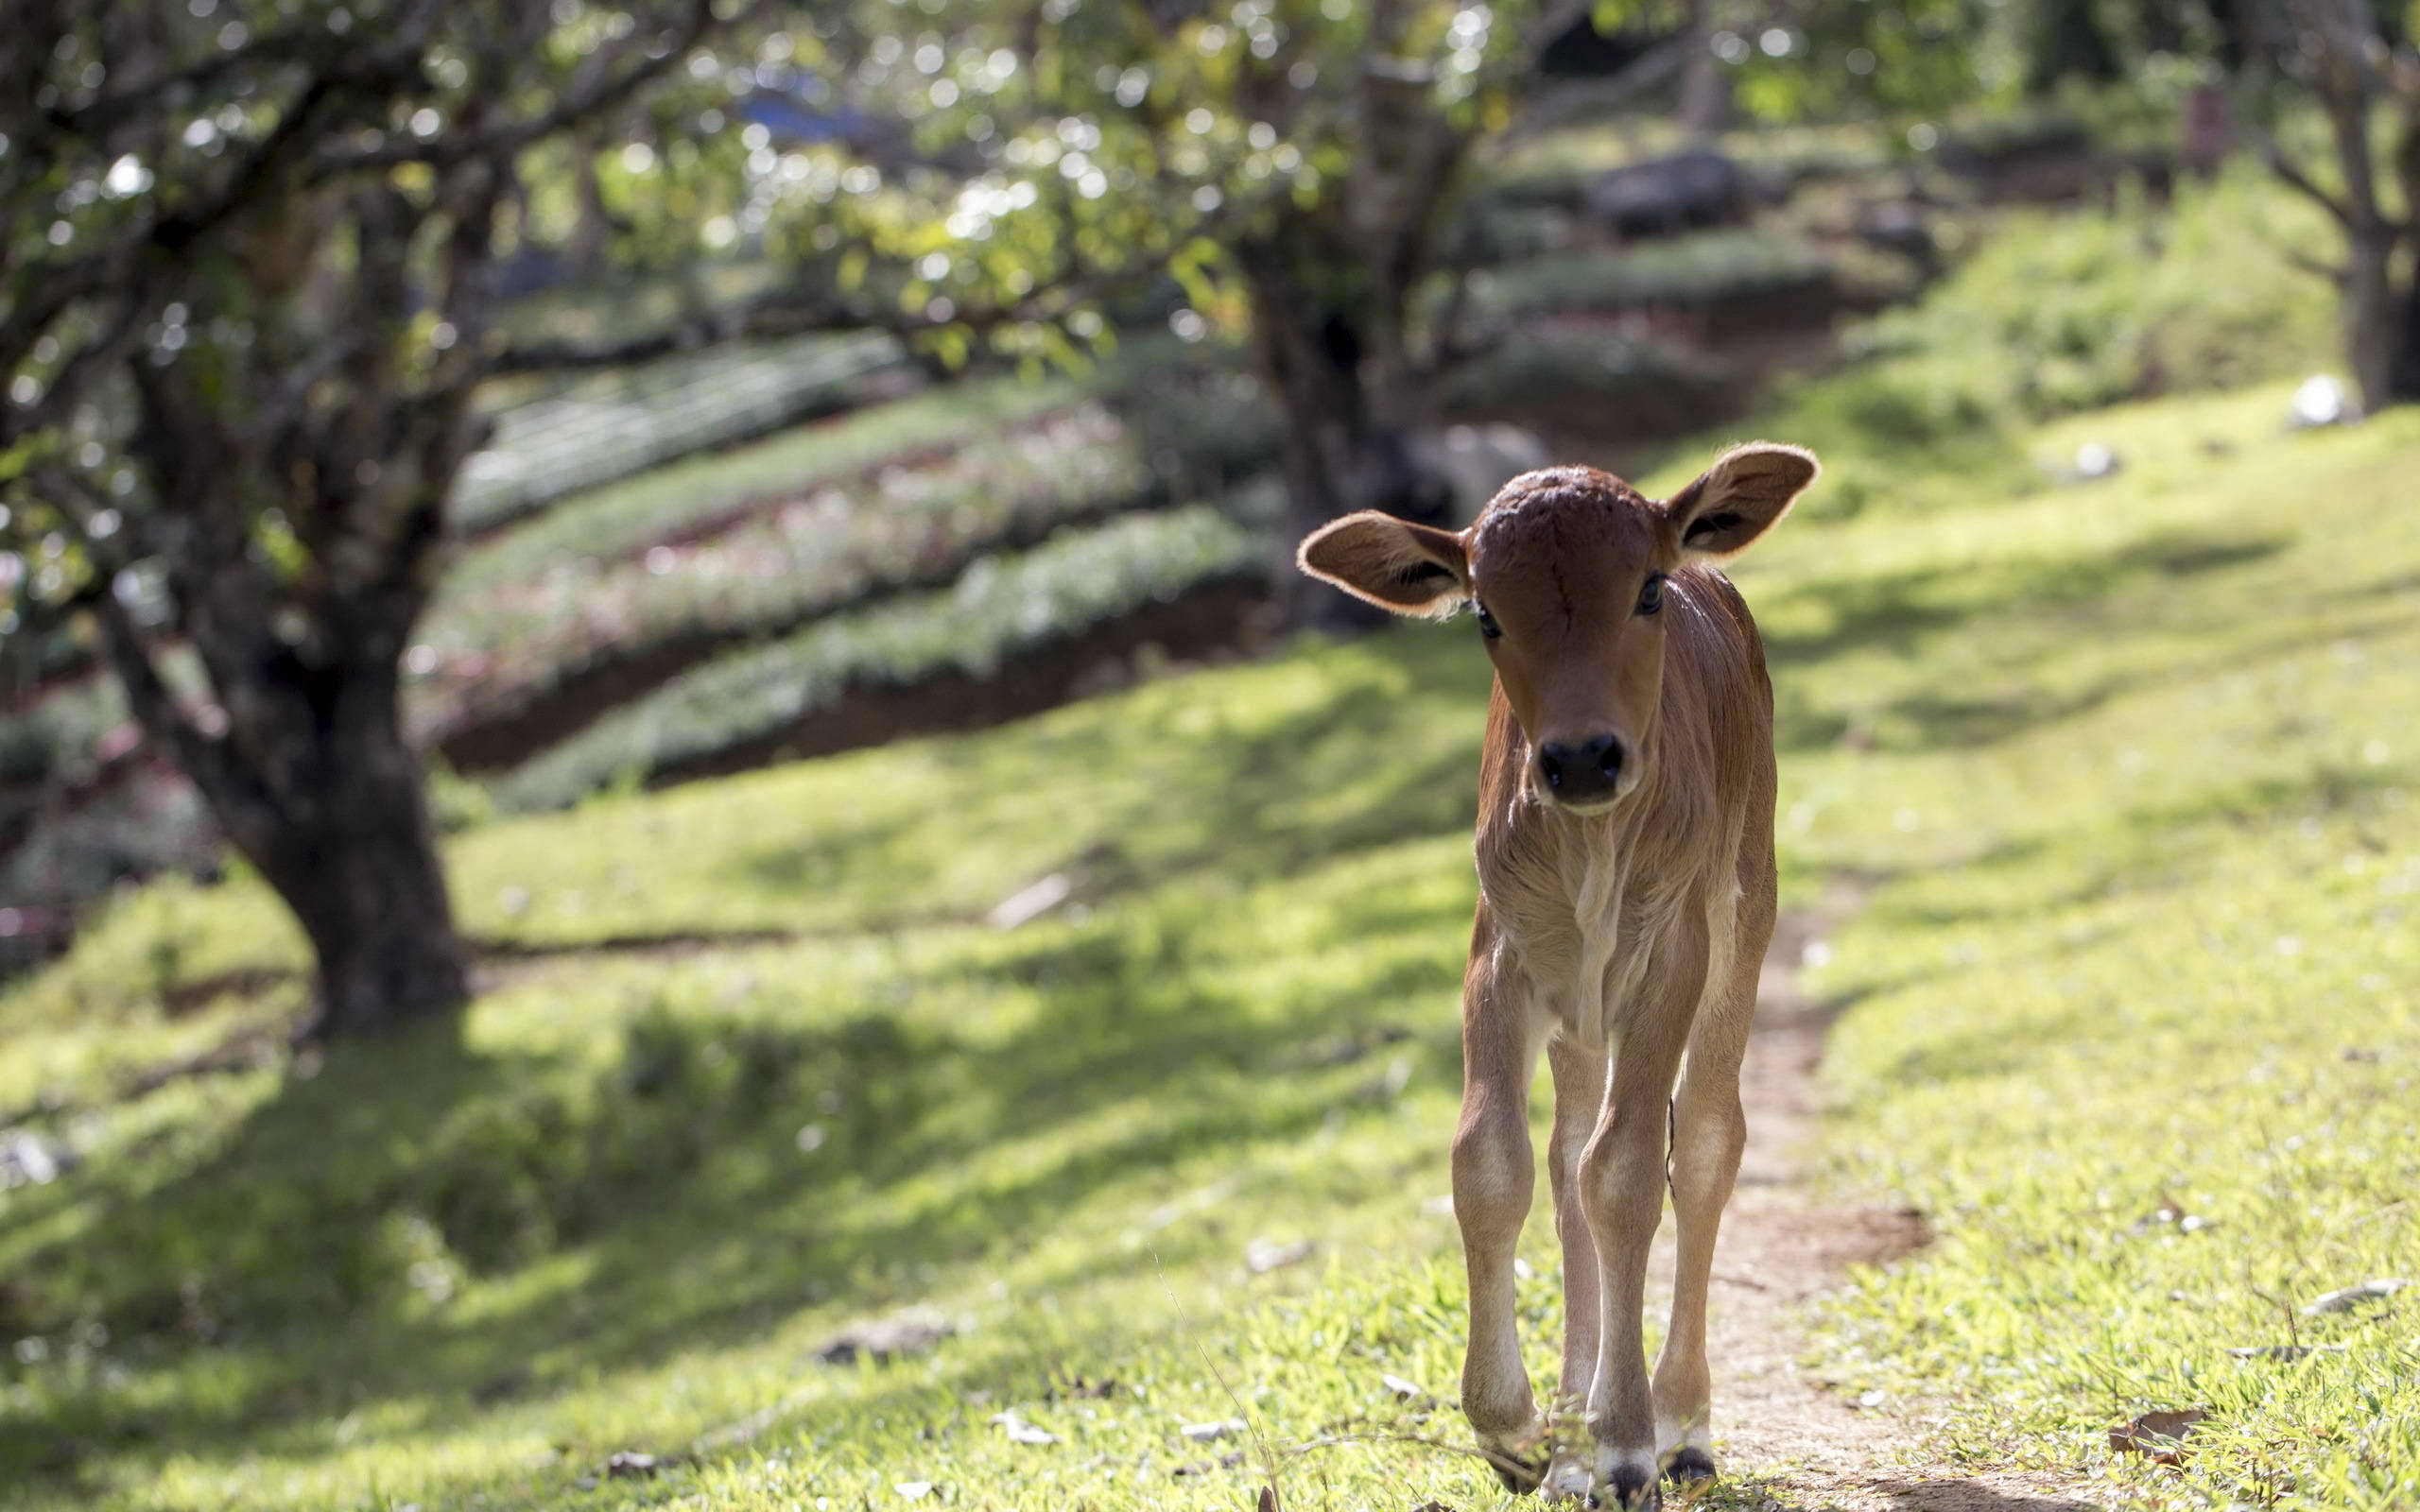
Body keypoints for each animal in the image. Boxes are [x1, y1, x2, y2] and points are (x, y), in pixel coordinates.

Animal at [1295, 444, 1818, 1507]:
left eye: (1647, 589)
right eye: (1487, 615)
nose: (1581, 758)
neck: (1590, 851)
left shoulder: (1669, 956)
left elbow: (1630, 1170)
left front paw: (1624, 1443)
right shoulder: (1500, 952)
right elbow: (1491, 1162)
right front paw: (1520, 1431)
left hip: (1746, 907)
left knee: (1706, 1139)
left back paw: (1680, 1426)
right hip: (1580, 1010)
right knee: (1567, 1151)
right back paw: (1573, 1443)